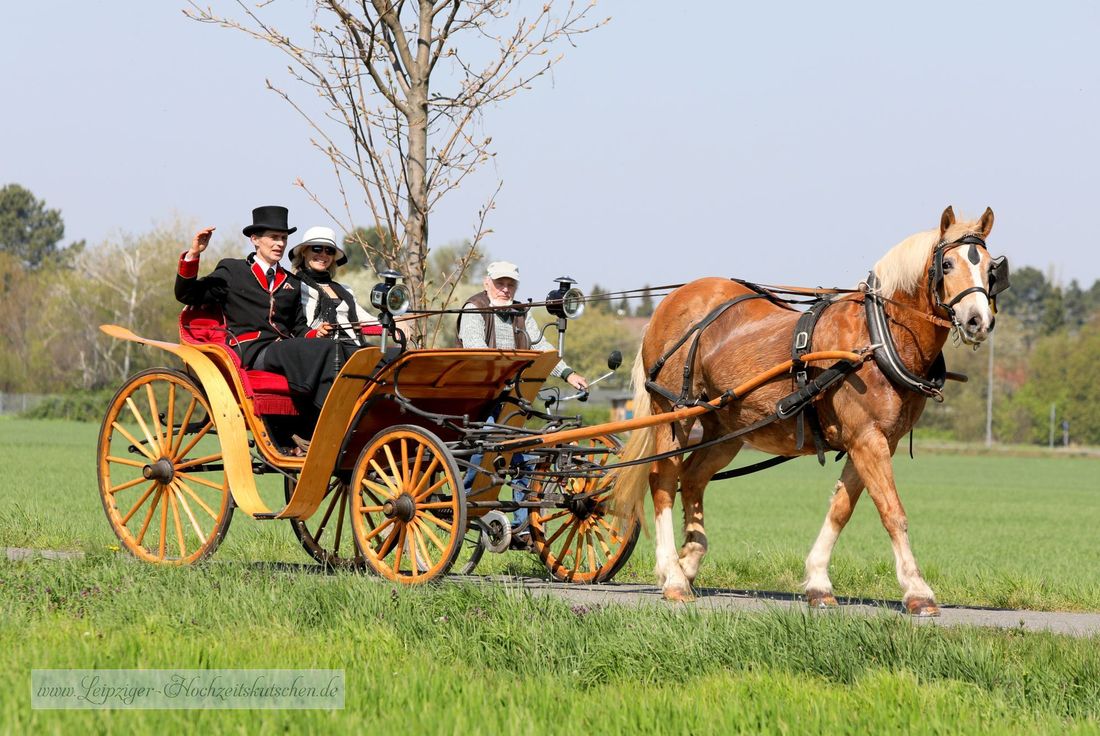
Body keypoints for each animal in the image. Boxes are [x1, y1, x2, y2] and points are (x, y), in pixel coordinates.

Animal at [616, 206, 1003, 616]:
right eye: (946, 264)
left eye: (990, 267)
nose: (979, 320)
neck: (877, 340)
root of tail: (673, 300)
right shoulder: (867, 439)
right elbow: (892, 512)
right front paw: (918, 591)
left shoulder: (874, 442)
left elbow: (841, 510)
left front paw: (818, 583)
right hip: (672, 413)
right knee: (662, 481)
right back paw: (672, 576)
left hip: (727, 429)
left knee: (692, 478)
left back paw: (688, 561)